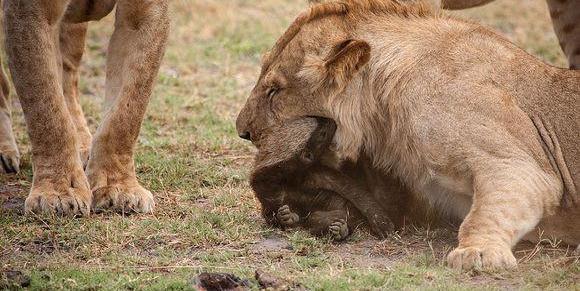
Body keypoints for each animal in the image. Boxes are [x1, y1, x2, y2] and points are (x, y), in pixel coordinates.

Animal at [0, 0, 170, 214]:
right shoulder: (30, 12)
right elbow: (47, 111)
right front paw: (57, 193)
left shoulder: (145, 14)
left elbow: (125, 115)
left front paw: (118, 188)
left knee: (67, 76)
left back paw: (82, 148)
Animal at [237, 0, 580, 272]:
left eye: (274, 90)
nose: (243, 132)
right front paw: (294, 210)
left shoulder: (522, 164)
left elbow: (496, 203)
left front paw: (478, 252)